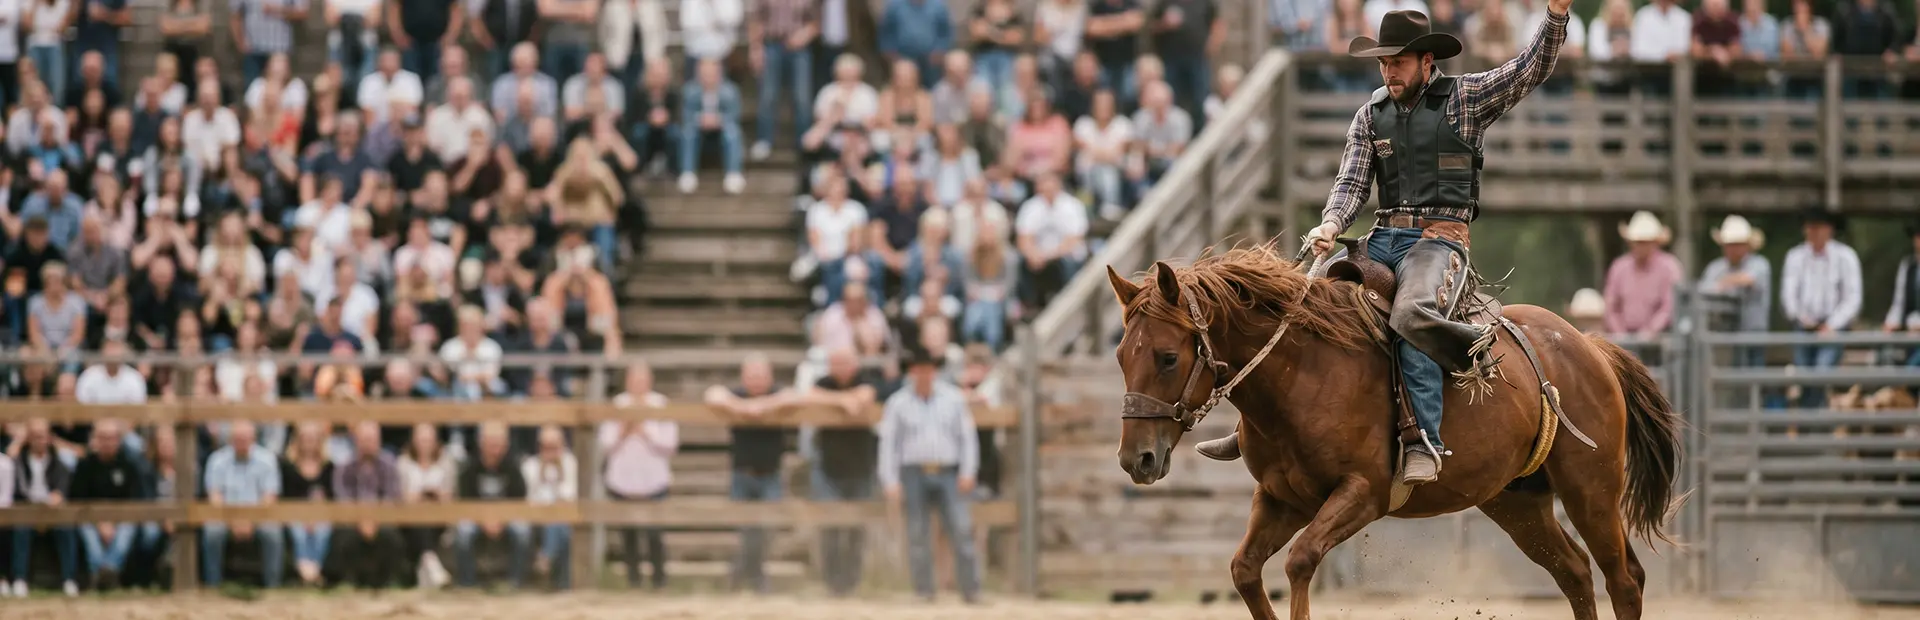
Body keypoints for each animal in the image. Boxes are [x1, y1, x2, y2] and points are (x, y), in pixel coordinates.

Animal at [1105, 244, 1685, 620]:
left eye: (1167, 356)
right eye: (1120, 356)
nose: (1137, 460)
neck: (1302, 372)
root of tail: (1589, 346)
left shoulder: (1364, 493)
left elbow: (1300, 560)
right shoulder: (1279, 497)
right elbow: (1244, 569)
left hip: (1591, 489)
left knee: (1623, 580)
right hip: (1517, 502)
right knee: (1575, 573)